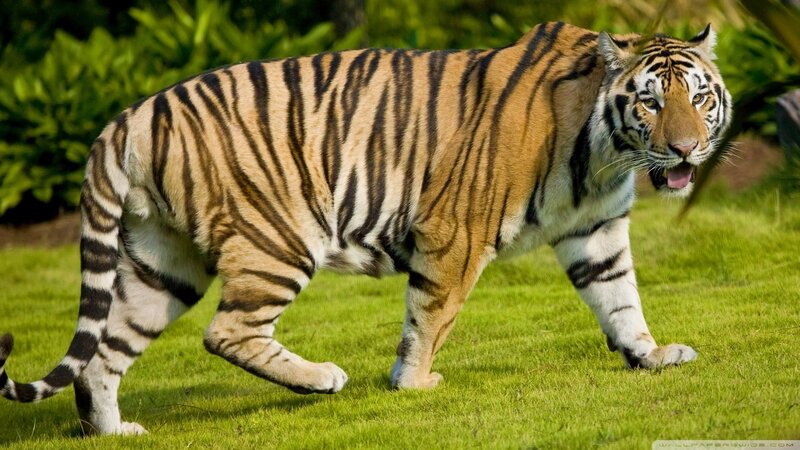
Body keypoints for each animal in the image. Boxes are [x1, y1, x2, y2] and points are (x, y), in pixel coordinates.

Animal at [0, 21, 731, 435]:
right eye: (650, 102)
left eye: (699, 98)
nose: (687, 151)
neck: (605, 155)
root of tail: (129, 116)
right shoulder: (455, 231)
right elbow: (431, 315)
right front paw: (414, 383)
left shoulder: (597, 231)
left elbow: (620, 298)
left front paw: (650, 355)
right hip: (278, 239)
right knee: (226, 331)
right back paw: (321, 378)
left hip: (162, 261)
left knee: (104, 354)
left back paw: (115, 430)